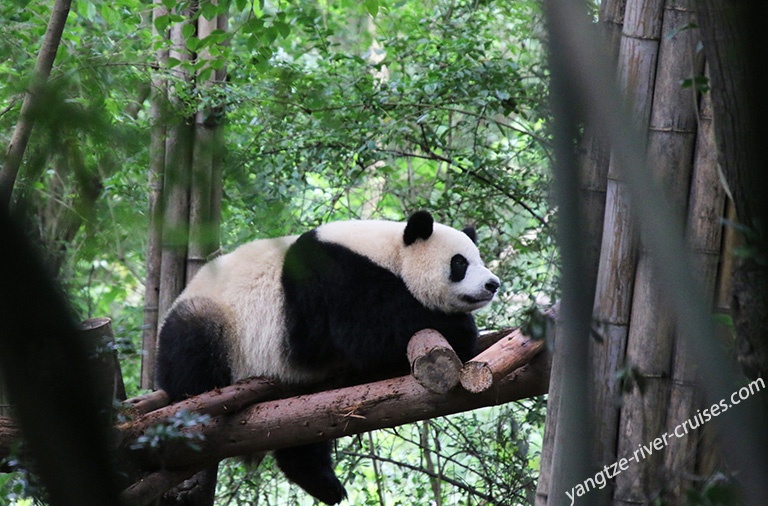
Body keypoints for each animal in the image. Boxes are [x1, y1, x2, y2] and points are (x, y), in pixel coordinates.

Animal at [159, 210, 500, 502]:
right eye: (460, 263)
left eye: (479, 259)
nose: (493, 284)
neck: (389, 251)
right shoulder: (335, 277)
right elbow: (370, 329)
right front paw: (462, 329)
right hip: (219, 324)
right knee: (192, 348)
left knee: (302, 431)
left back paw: (323, 483)